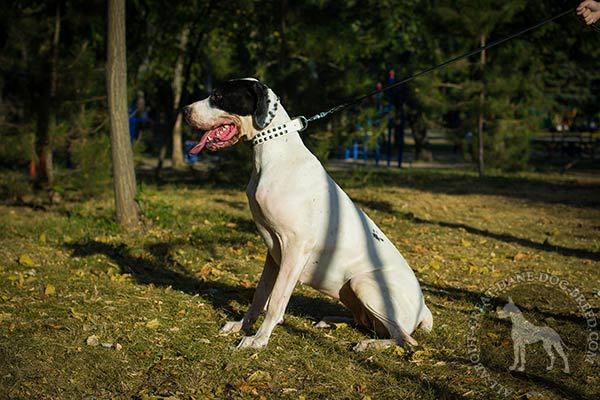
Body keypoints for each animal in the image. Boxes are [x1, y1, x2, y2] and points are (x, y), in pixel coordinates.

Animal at [183, 78, 432, 350]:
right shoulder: (273, 251)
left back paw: (369, 344)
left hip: (364, 283)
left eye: (218, 96)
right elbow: (260, 295)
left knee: (403, 338)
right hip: (350, 291)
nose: (184, 111)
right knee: (367, 323)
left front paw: (259, 339)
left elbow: (276, 301)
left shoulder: (295, 247)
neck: (274, 155)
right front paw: (241, 326)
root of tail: (424, 311)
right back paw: (331, 321)